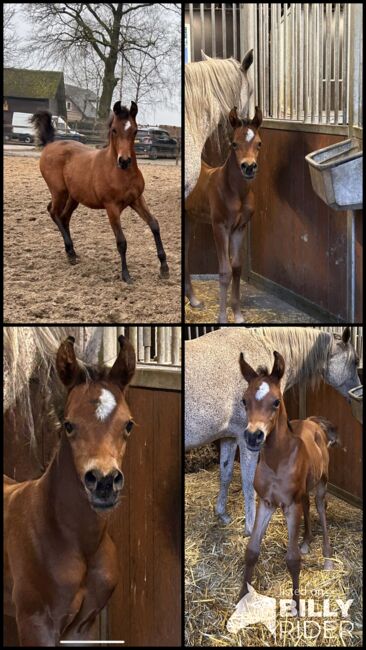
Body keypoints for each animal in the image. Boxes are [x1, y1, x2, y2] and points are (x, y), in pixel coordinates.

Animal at [31, 101, 169, 280]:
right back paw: (70, 252)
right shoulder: (112, 207)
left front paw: (164, 268)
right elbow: (121, 241)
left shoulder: (137, 199)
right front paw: (126, 275)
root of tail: (50, 144)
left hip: (73, 197)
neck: (119, 172)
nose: (124, 161)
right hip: (59, 192)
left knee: (63, 217)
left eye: (135, 131)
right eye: (114, 130)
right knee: (54, 212)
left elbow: (154, 225)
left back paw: (71, 252)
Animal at [187, 104, 262, 324]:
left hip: (190, 219)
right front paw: (222, 318)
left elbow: (236, 267)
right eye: (234, 144)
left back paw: (193, 299)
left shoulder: (239, 228)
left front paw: (238, 315)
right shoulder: (220, 227)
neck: (235, 191)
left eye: (259, 144)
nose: (248, 167)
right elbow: (224, 271)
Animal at [237, 350, 334, 608]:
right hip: (305, 490)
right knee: (309, 504)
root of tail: (312, 421)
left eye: (276, 402)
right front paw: (242, 597)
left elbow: (292, 559)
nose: (253, 437)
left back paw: (327, 557)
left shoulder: (291, 505)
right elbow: (251, 550)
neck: (277, 461)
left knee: (320, 508)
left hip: (322, 483)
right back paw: (307, 541)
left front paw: (297, 605)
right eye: (244, 401)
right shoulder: (266, 503)